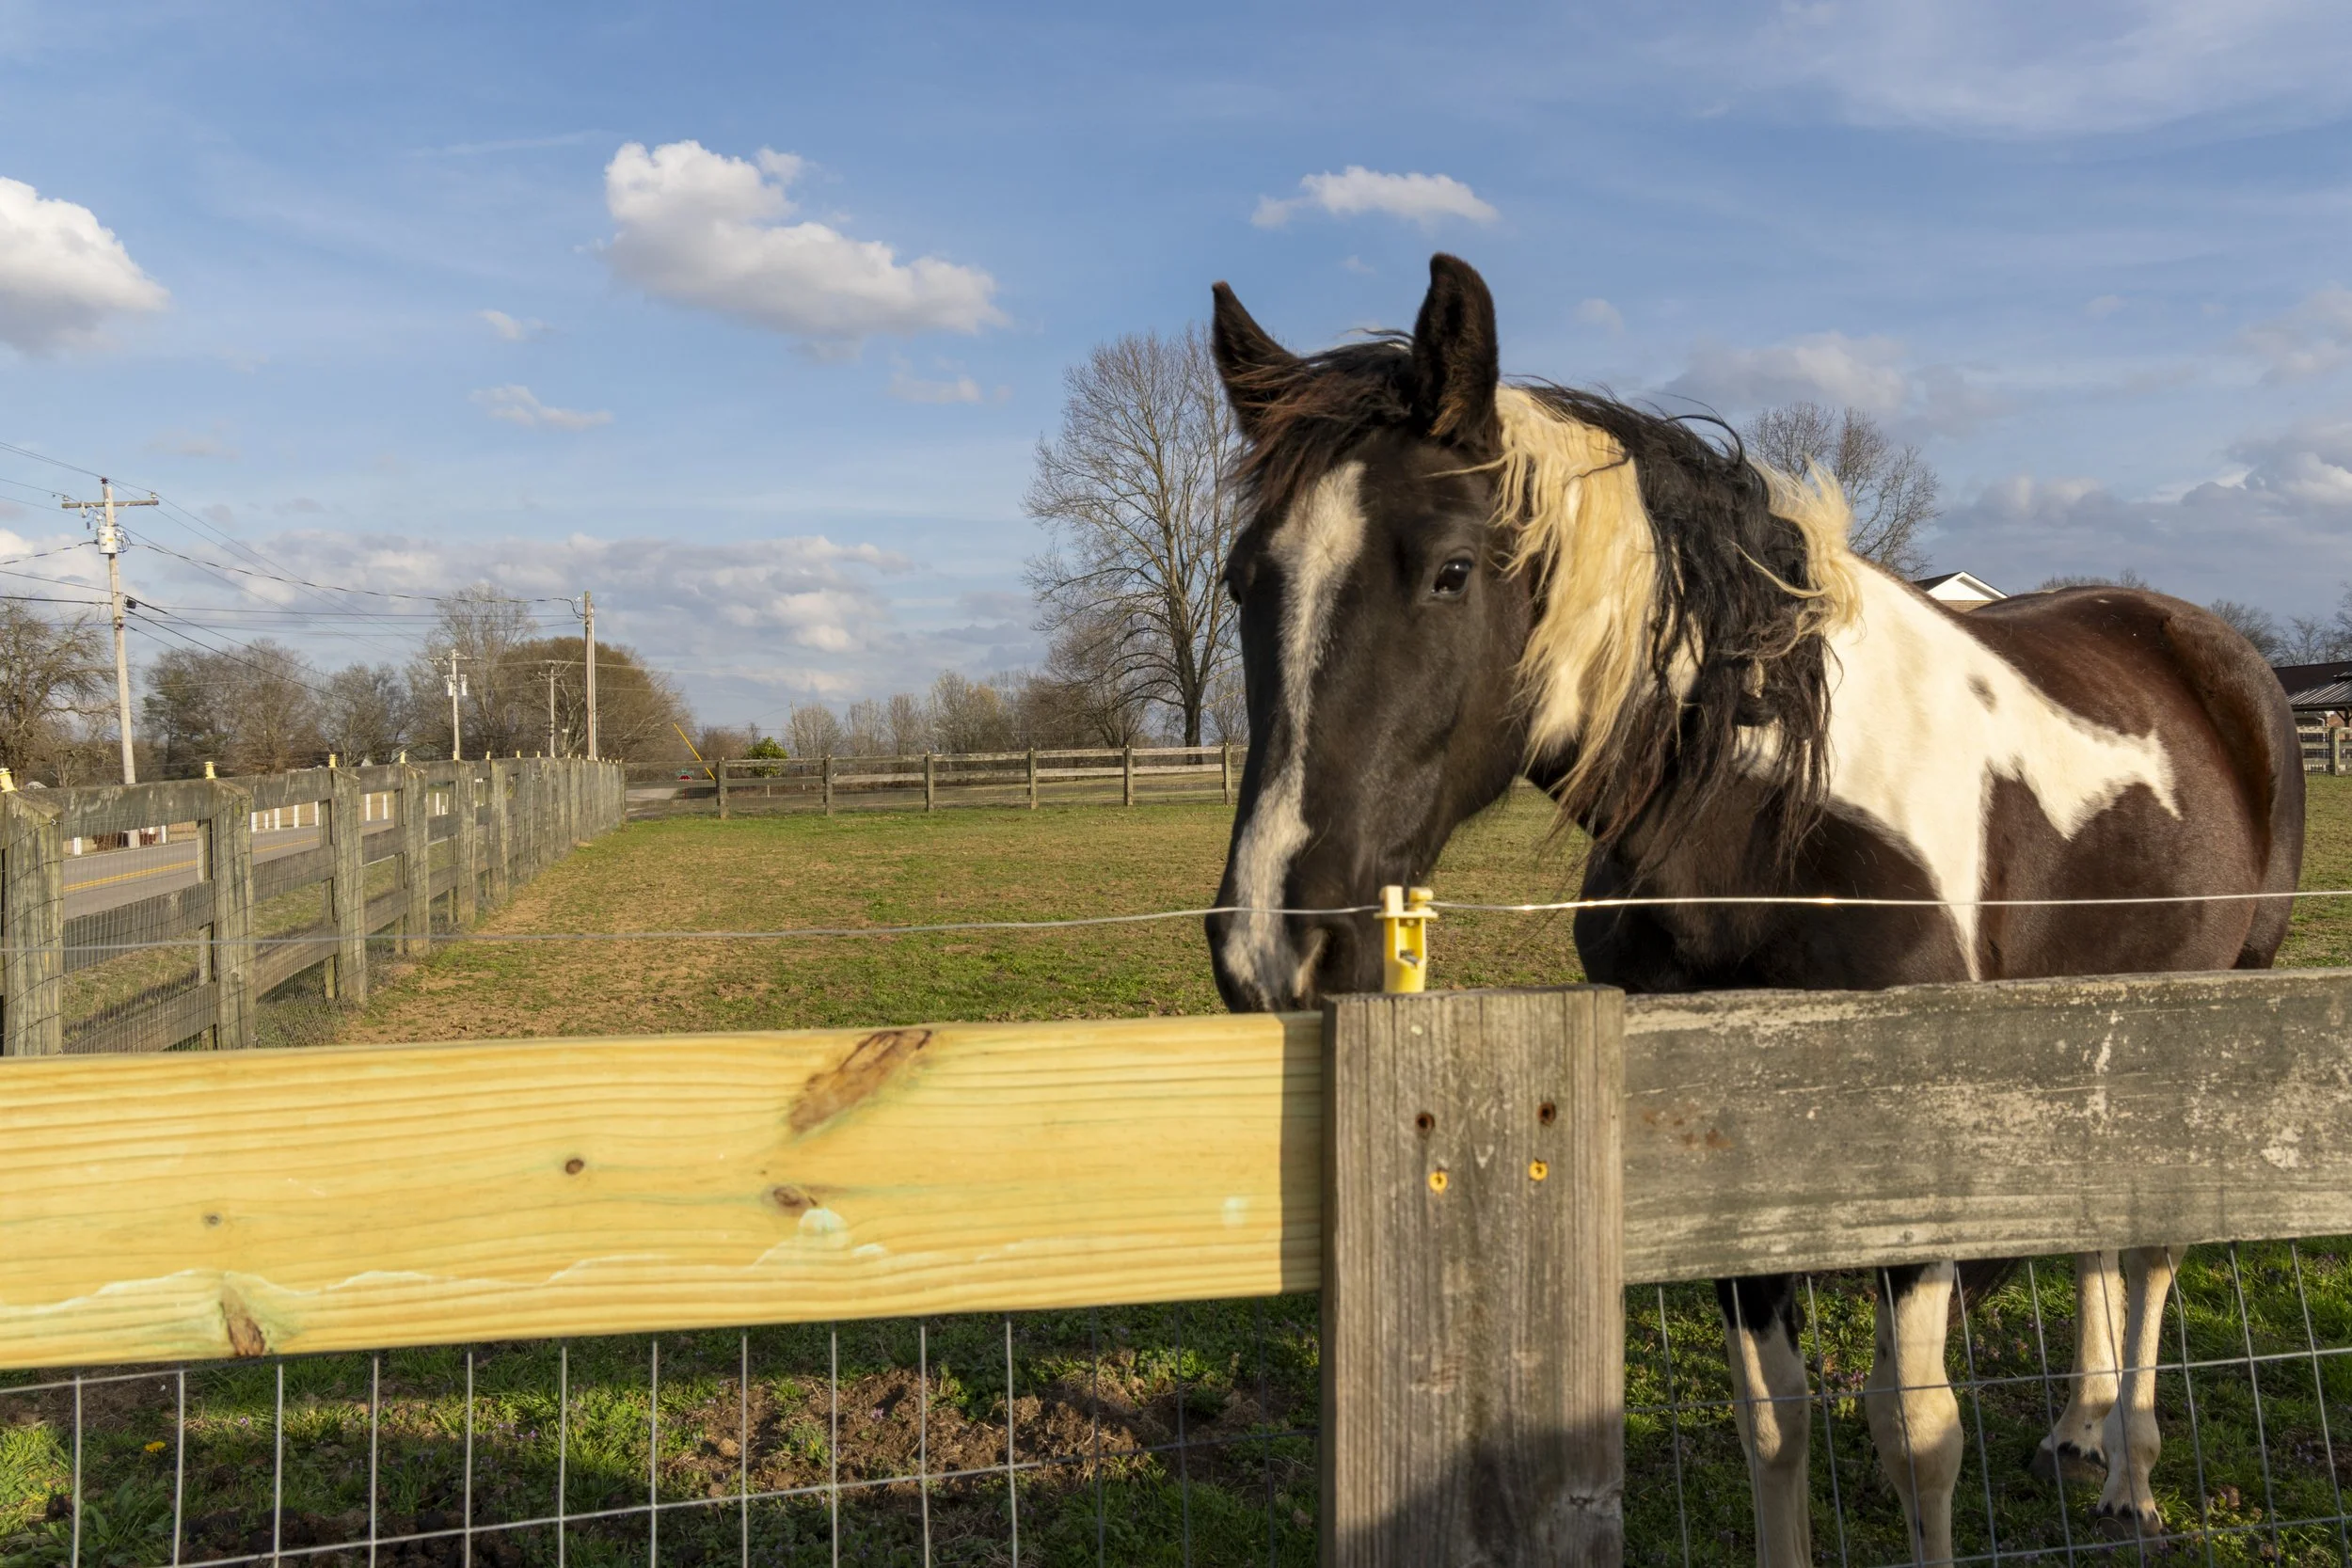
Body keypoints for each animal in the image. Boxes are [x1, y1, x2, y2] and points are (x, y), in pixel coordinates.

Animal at [1201, 253, 2303, 1564]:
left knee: (2153, 1251)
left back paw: (2131, 1471)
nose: (1271, 945)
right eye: (1242, 578)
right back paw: (2083, 1426)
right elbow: (1772, 1420)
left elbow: (1914, 1432)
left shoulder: (1917, 1149)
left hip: (2220, 1006)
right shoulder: (1729, 1150)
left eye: (1452, 569)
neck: (1768, 822)